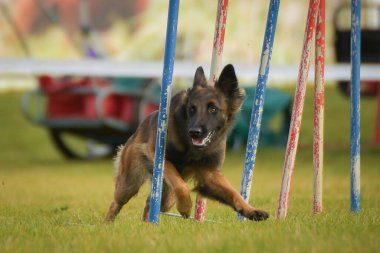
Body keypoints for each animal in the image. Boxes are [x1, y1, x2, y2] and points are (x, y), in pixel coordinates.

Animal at [105, 64, 268, 221]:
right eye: (192, 109)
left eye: (213, 109)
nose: (194, 132)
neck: (191, 147)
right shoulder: (159, 156)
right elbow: (181, 185)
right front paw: (185, 206)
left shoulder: (209, 174)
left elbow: (234, 193)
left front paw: (251, 210)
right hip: (130, 183)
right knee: (116, 203)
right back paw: (108, 224)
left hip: (166, 197)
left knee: (149, 204)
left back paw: (148, 225)